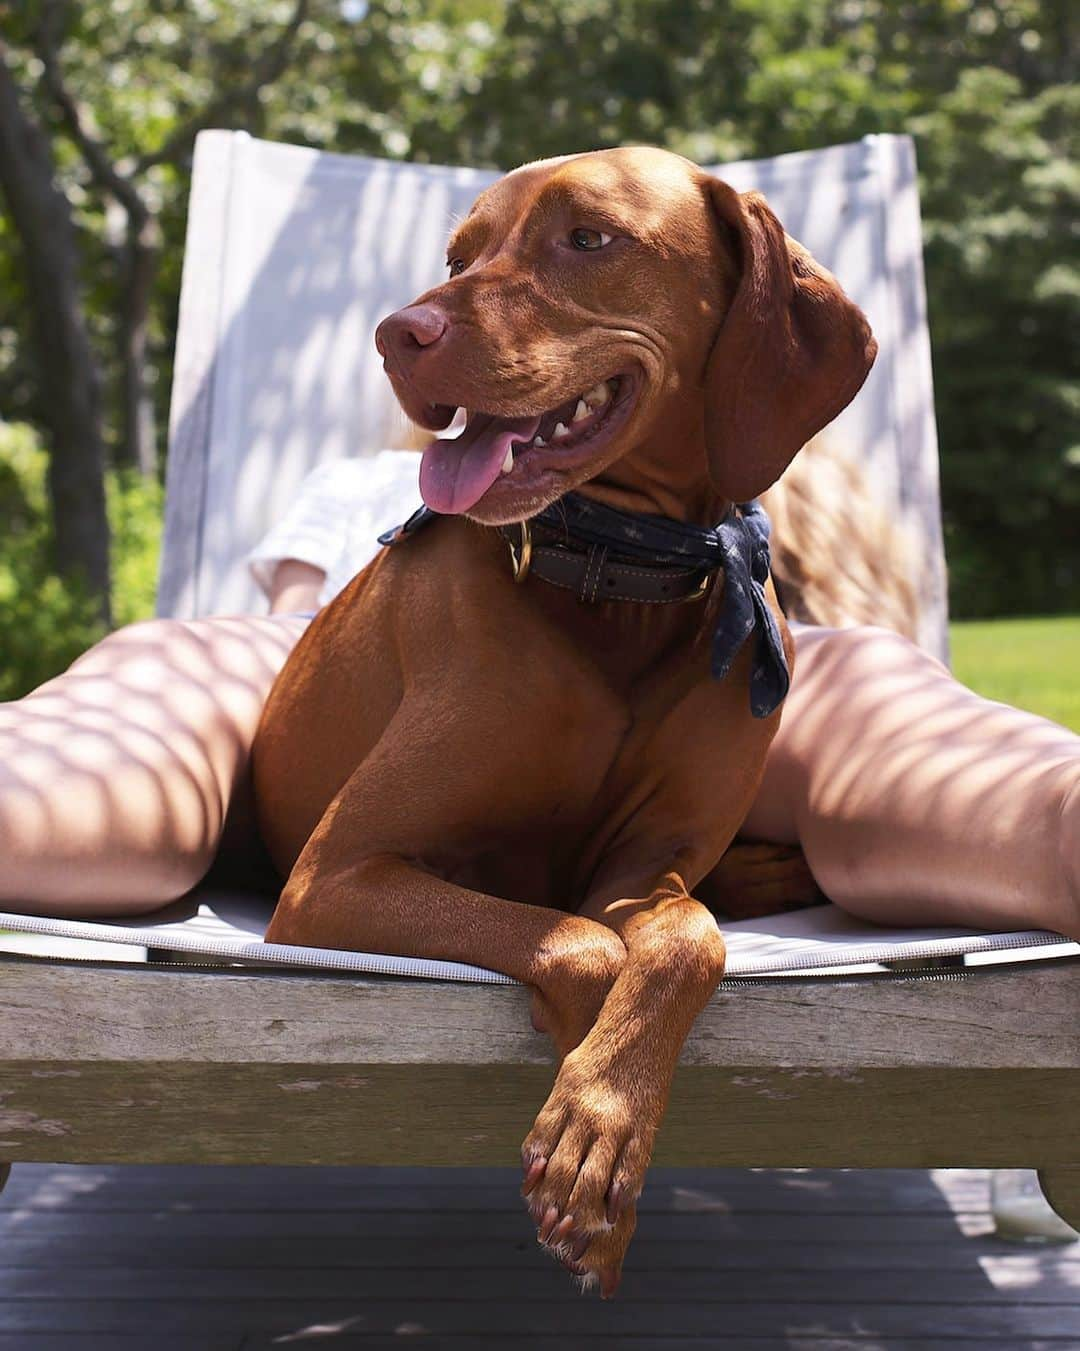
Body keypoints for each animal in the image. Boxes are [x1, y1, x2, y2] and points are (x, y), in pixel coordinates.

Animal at [255, 147, 875, 1296]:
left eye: (590, 238)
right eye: (456, 258)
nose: (396, 332)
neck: (616, 581)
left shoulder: (648, 866)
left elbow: (684, 937)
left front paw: (603, 1115)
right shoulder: (333, 877)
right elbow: (579, 938)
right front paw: (595, 1134)